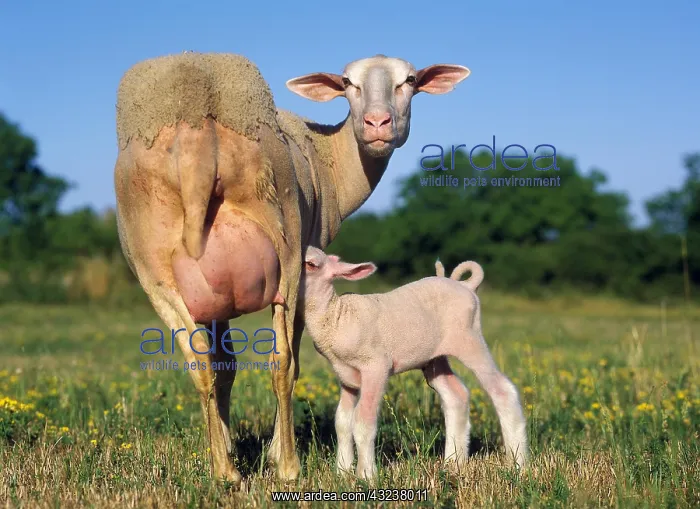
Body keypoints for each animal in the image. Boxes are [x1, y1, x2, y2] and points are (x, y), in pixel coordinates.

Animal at [113, 52, 471, 485]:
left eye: (411, 80)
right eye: (347, 83)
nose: (377, 123)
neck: (330, 158)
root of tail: (196, 122)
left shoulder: (213, 300)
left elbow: (225, 368)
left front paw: (227, 445)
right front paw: (265, 453)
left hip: (154, 267)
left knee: (199, 366)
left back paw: (225, 472)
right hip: (285, 246)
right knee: (282, 364)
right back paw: (286, 465)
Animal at [300, 247, 528, 480]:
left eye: (311, 264)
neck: (337, 316)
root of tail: (466, 286)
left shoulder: (376, 366)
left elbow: (363, 421)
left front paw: (366, 475)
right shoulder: (346, 375)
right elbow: (342, 422)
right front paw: (342, 471)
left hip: (470, 340)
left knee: (502, 390)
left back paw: (517, 463)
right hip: (434, 359)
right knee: (456, 395)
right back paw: (453, 462)